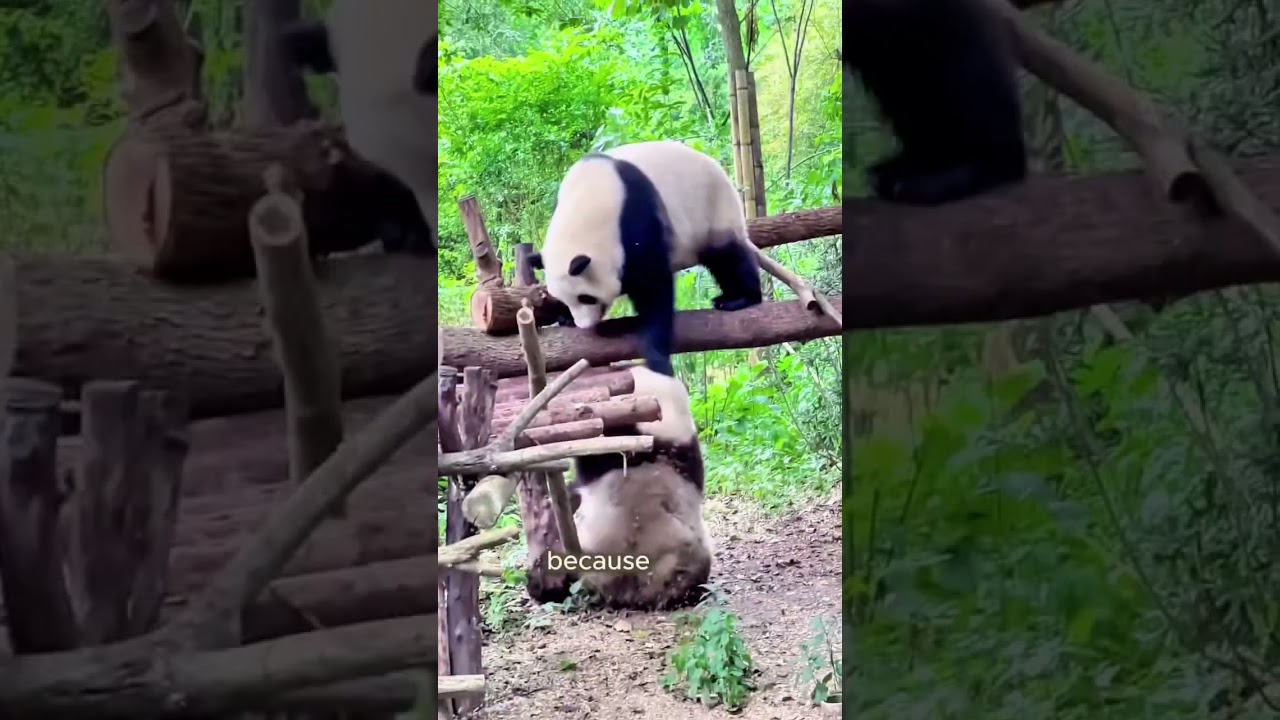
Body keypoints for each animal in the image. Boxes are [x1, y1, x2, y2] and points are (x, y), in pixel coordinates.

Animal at [527, 140, 764, 377]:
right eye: (567, 298)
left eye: (586, 298)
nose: (584, 325)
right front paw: (564, 315)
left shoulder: (636, 218)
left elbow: (653, 286)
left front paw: (657, 357)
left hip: (713, 210)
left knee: (727, 256)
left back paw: (738, 298)